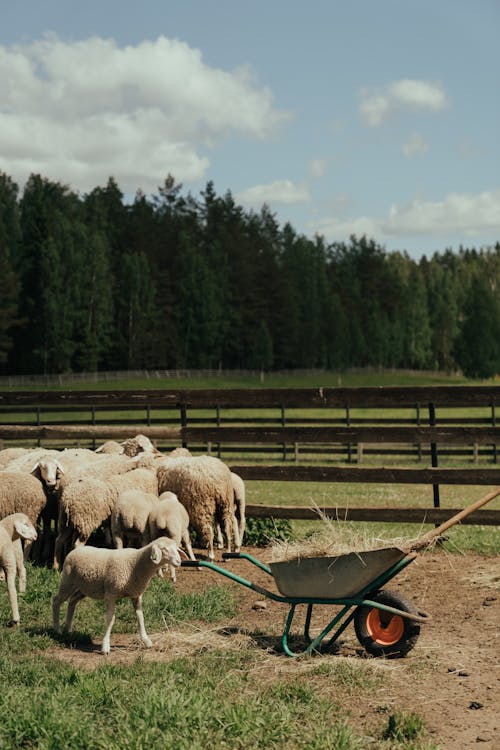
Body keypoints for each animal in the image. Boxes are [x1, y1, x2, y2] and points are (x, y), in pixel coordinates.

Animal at [51, 536, 187, 656]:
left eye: (176, 548)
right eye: (164, 549)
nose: (178, 561)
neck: (136, 563)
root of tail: (75, 550)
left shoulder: (136, 595)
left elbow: (140, 618)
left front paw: (146, 641)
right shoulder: (111, 594)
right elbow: (110, 620)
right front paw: (105, 646)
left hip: (85, 588)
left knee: (72, 601)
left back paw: (68, 629)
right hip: (68, 581)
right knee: (57, 600)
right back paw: (57, 629)